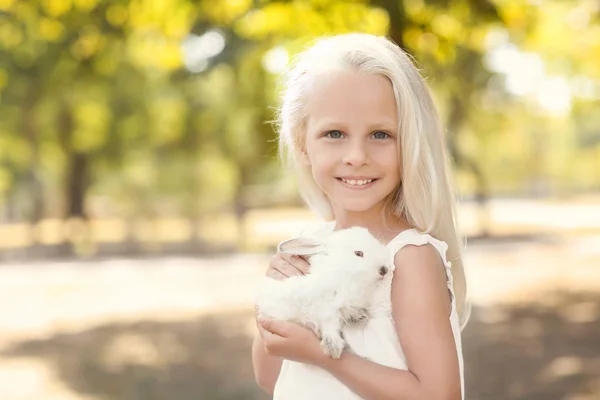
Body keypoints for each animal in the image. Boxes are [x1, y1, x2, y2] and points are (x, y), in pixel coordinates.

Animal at [254, 225, 392, 360]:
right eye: (358, 253)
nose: (384, 269)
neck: (345, 275)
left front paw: (358, 315)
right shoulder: (324, 307)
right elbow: (329, 324)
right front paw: (333, 347)